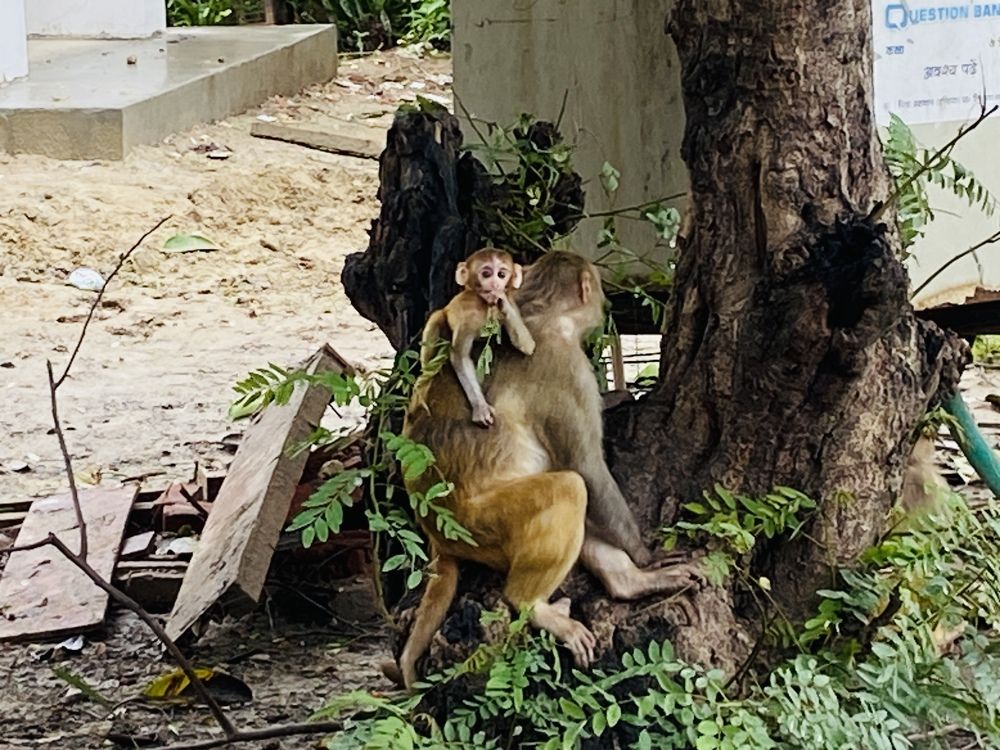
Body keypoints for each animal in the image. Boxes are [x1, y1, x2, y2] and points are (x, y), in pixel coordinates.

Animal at [420, 248, 536, 427]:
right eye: (486, 274)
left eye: (501, 274)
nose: (495, 284)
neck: (486, 305)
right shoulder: (467, 315)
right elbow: (460, 357)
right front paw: (481, 408)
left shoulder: (511, 303)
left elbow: (527, 345)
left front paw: (500, 297)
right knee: (436, 319)